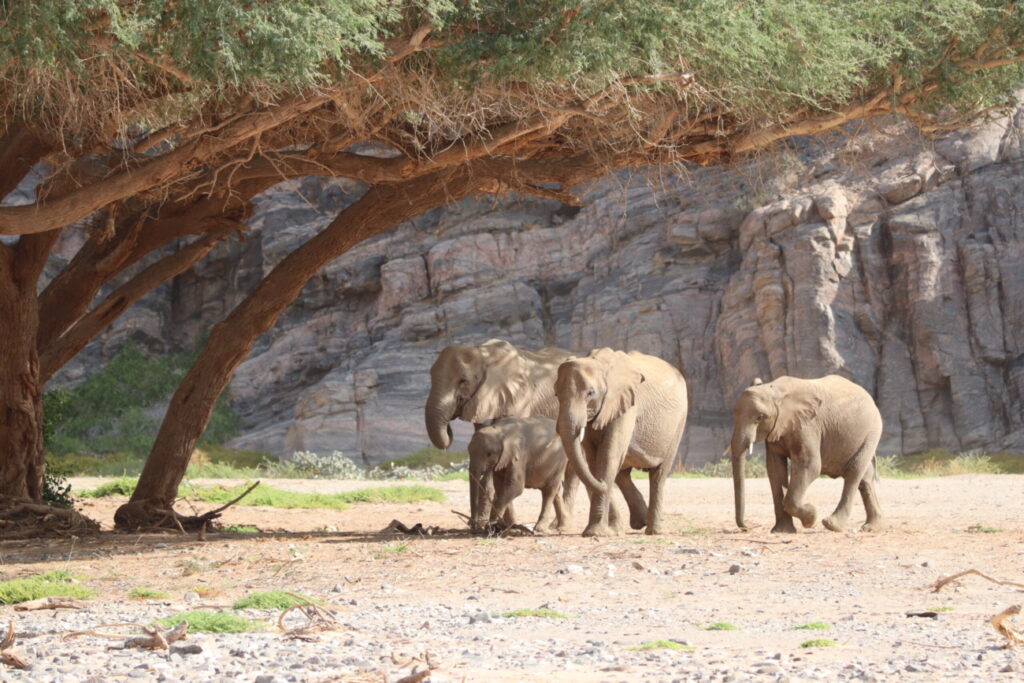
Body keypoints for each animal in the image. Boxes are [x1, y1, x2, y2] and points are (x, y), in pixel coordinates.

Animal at [423, 342, 647, 532]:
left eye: (463, 381)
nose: (449, 429)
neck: (484, 352)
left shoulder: (517, 396)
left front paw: (503, 525)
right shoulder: (484, 400)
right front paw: (492, 524)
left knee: (573, 470)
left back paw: (560, 527)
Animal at [552, 350, 688, 536]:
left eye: (591, 393)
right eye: (556, 394)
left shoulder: (626, 405)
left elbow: (608, 456)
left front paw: (595, 533)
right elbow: (594, 460)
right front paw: (607, 531)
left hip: (678, 425)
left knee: (658, 475)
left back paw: (653, 530)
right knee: (622, 475)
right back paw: (638, 523)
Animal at [729, 374, 888, 532]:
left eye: (760, 417)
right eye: (734, 414)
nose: (746, 527)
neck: (775, 390)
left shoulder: (808, 426)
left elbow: (810, 465)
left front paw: (811, 518)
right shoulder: (776, 429)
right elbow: (775, 468)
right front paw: (782, 531)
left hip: (872, 432)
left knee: (854, 472)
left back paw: (832, 525)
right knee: (865, 478)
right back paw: (871, 527)